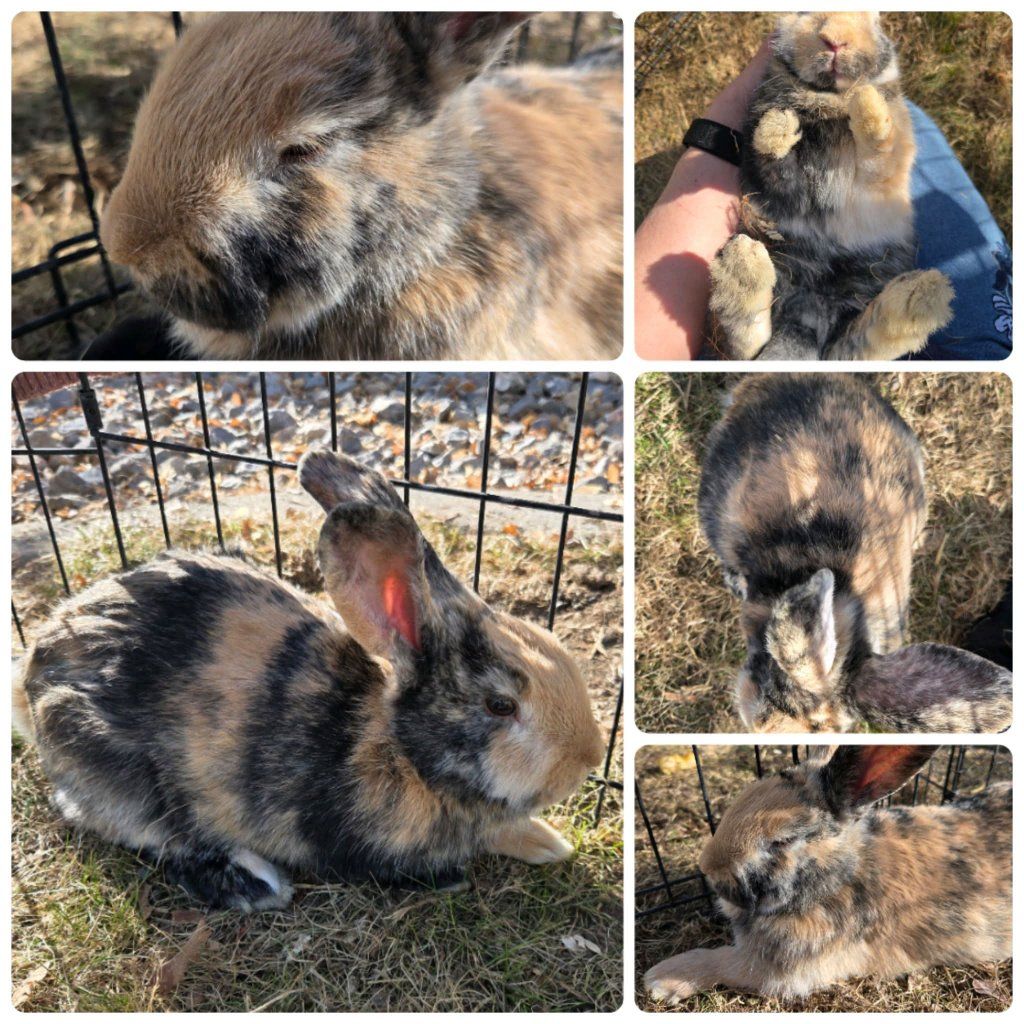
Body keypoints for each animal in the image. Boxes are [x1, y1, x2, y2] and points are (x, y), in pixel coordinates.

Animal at [13, 449, 605, 910]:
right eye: (500, 706)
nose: (591, 757)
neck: (397, 748)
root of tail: (35, 670)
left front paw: (550, 844)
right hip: (121, 776)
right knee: (145, 833)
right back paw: (254, 884)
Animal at [644, 744, 1012, 1004]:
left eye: (783, 840)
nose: (707, 867)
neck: (839, 878)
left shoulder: (773, 968)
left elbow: (720, 961)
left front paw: (660, 979)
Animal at [706, 12, 953, 361]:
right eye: (801, 13)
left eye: (875, 19)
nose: (835, 40)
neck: (829, 97)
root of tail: (808, 317)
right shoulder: (775, 184)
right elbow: (775, 166)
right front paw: (778, 126)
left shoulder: (880, 176)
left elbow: (878, 151)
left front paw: (868, 104)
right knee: (743, 346)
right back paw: (740, 271)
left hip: (864, 284)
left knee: (854, 347)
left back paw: (920, 299)